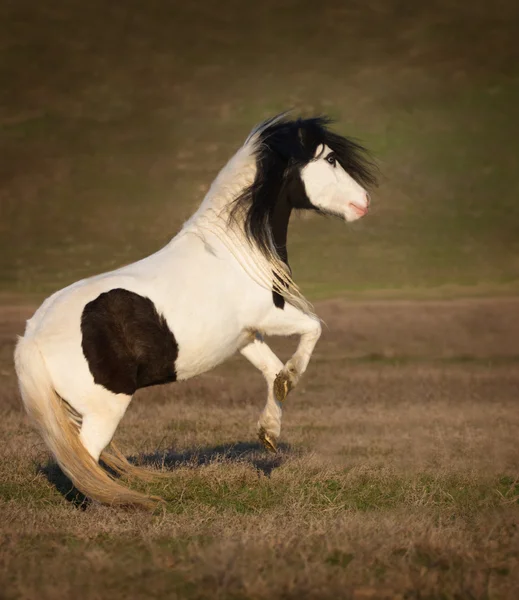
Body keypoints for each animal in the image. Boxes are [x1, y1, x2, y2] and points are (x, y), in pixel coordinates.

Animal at [13, 115, 378, 508]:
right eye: (330, 159)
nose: (364, 202)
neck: (237, 249)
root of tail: (32, 337)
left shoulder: (244, 336)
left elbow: (272, 372)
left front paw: (269, 431)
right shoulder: (268, 317)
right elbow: (312, 330)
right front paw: (288, 385)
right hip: (102, 411)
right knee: (84, 465)